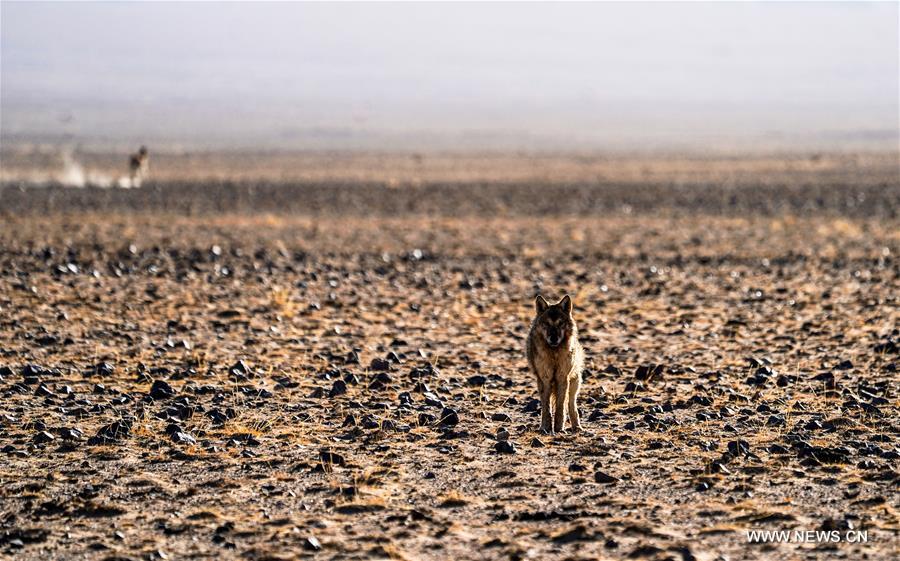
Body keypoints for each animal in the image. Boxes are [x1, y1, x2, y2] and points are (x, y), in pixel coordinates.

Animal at [524, 294, 588, 434]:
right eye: (547, 324)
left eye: (560, 324)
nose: (553, 338)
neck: (554, 354)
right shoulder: (544, 379)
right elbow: (546, 407)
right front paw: (545, 427)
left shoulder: (562, 377)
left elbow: (560, 405)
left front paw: (559, 428)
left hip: (575, 383)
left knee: (571, 405)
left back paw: (577, 427)